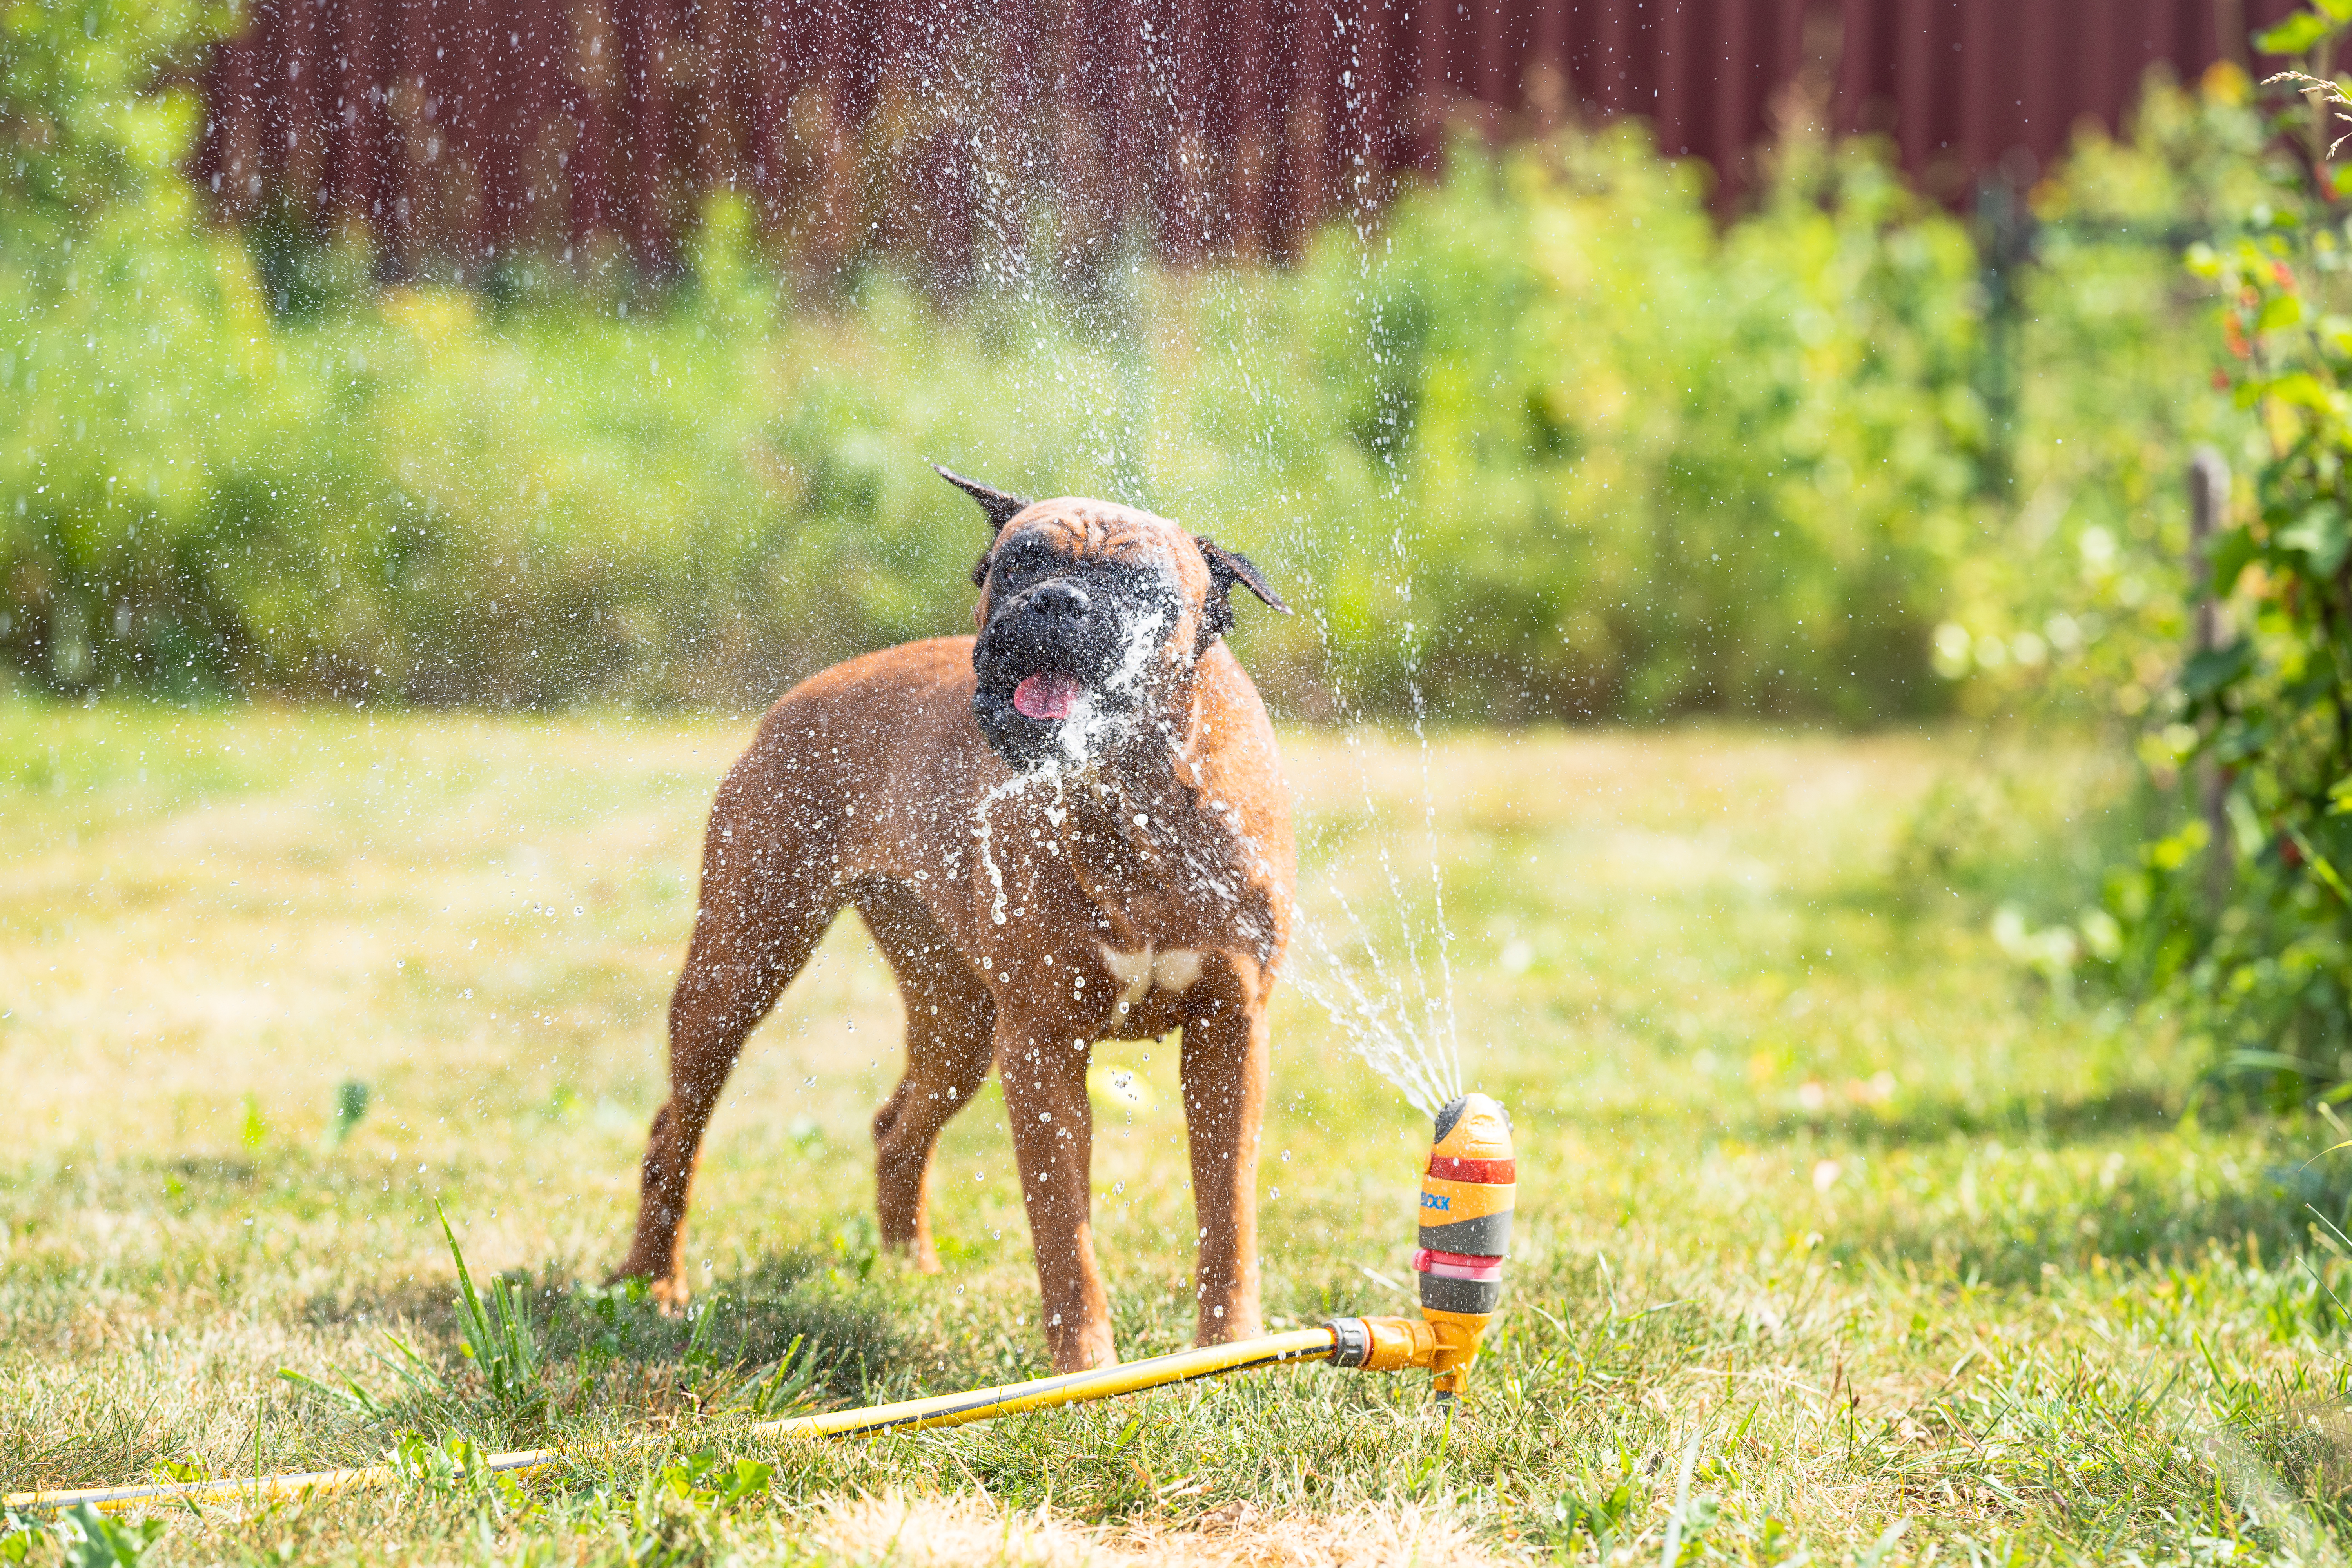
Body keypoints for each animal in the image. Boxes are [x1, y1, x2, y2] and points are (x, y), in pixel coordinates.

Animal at [616, 465, 1298, 1373]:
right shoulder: (1042, 1046)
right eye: (1017, 563)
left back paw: (908, 1269)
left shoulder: (1229, 1030)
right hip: (740, 968)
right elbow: (1064, 1233)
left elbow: (1227, 1213)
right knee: (675, 1133)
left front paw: (1229, 1348)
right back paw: (652, 1282)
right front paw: (1086, 1369)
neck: (1129, 792)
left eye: (1141, 584)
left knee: (895, 1128)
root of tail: (806, 691)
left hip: (958, 1025)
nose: (1055, 601)